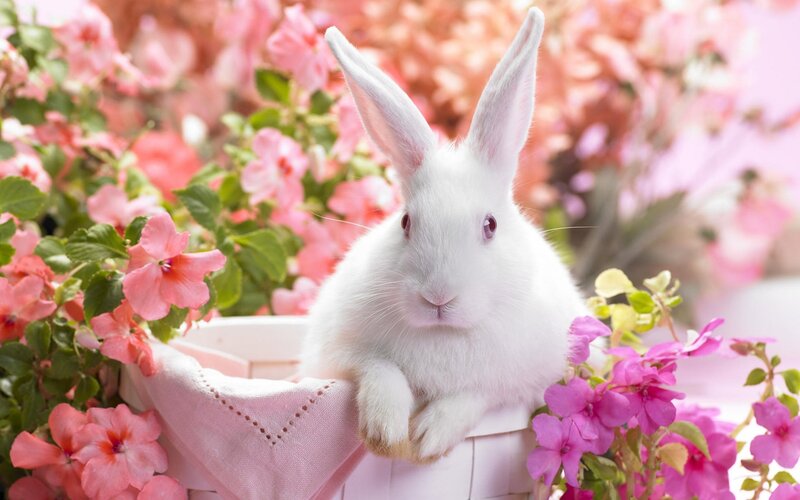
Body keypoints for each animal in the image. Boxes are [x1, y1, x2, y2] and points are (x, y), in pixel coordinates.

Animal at [300, 7, 588, 462]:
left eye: (490, 225)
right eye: (405, 222)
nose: (438, 297)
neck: (443, 335)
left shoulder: (522, 381)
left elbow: (474, 395)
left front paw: (427, 438)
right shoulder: (338, 352)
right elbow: (379, 368)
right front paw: (385, 433)